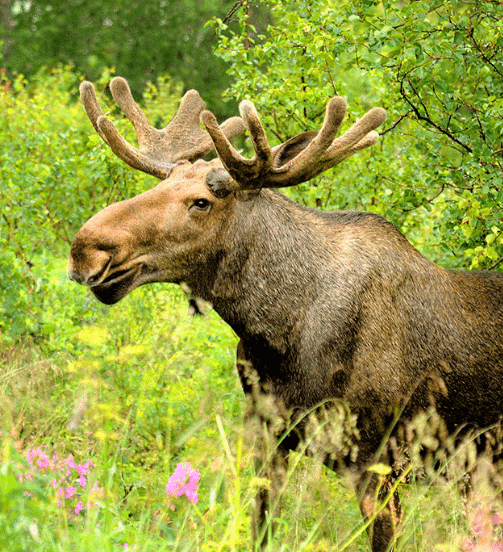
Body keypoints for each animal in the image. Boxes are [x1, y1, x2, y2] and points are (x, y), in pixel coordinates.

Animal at [68, 78, 503, 552]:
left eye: (201, 202)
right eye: (161, 184)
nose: (85, 248)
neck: (278, 334)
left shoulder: (380, 457)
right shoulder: (268, 434)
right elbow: (261, 527)